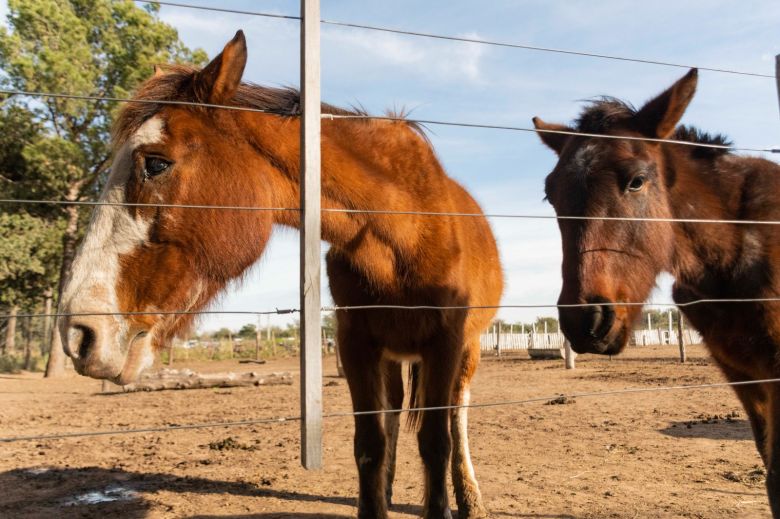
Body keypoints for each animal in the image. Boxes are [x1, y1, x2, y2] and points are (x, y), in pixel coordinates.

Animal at [58, 30, 502, 516]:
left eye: (155, 162)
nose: (79, 333)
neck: (405, 231)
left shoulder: (445, 343)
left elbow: (436, 442)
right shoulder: (357, 344)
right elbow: (371, 444)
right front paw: (376, 494)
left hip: (466, 352)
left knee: (457, 414)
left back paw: (470, 496)